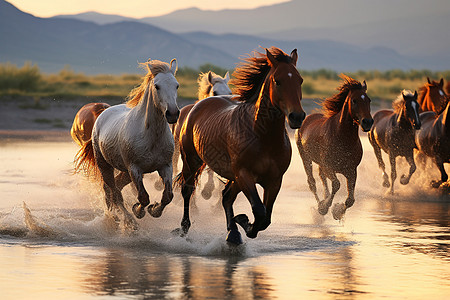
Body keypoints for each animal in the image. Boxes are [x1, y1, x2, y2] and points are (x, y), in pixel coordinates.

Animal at [74, 58, 179, 227]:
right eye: (157, 86)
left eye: (176, 85)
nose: (173, 114)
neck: (151, 137)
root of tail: (102, 113)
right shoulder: (134, 169)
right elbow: (143, 197)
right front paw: (138, 210)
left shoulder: (165, 166)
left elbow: (168, 196)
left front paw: (154, 210)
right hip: (105, 165)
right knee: (113, 190)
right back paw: (125, 219)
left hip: (124, 172)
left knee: (115, 187)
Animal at [174, 47, 304, 244]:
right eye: (278, 81)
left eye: (300, 80)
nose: (297, 116)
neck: (263, 136)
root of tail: (196, 106)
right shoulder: (244, 174)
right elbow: (259, 210)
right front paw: (245, 222)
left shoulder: (274, 180)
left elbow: (266, 217)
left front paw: (242, 223)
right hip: (192, 160)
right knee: (188, 190)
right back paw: (184, 228)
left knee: (226, 197)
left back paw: (233, 234)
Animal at [296, 74, 372, 220]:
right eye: (354, 100)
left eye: (369, 100)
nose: (368, 122)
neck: (342, 137)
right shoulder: (329, 167)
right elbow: (336, 185)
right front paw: (324, 208)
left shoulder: (351, 170)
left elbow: (350, 199)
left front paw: (337, 211)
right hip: (306, 158)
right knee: (312, 182)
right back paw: (320, 205)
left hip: (320, 164)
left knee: (321, 178)